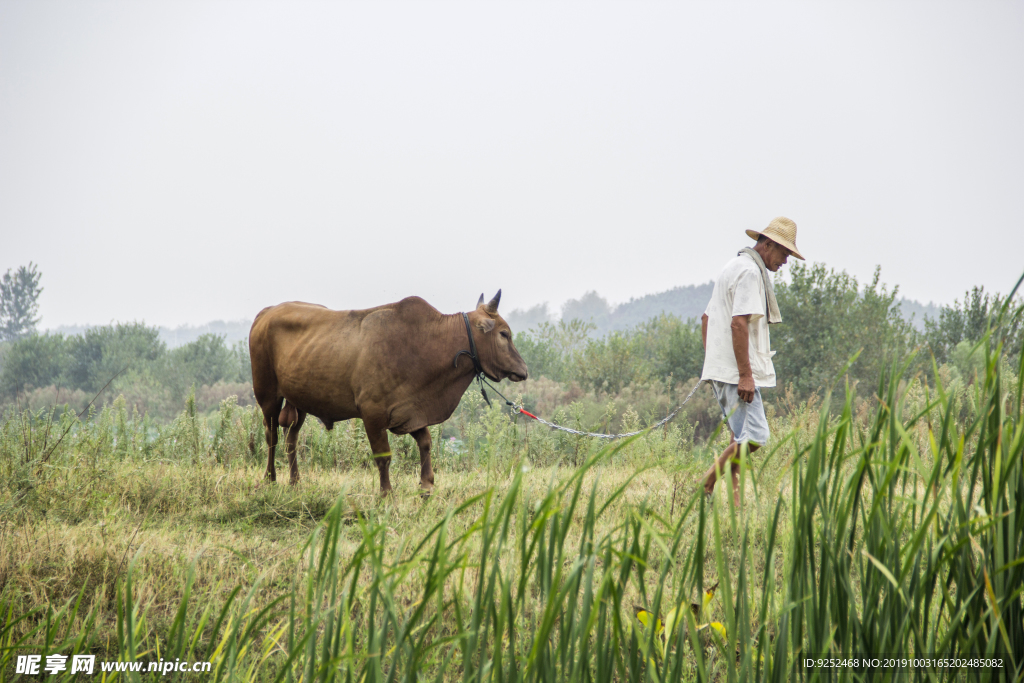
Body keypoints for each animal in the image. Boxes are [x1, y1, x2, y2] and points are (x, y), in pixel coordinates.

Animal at [247, 290, 528, 493]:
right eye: (504, 334)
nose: (524, 369)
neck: (425, 343)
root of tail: (267, 312)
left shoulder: (412, 410)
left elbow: (425, 443)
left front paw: (426, 486)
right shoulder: (372, 414)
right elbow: (384, 457)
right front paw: (386, 494)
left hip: (299, 400)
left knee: (291, 437)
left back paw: (295, 481)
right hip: (267, 395)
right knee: (271, 435)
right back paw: (270, 478)